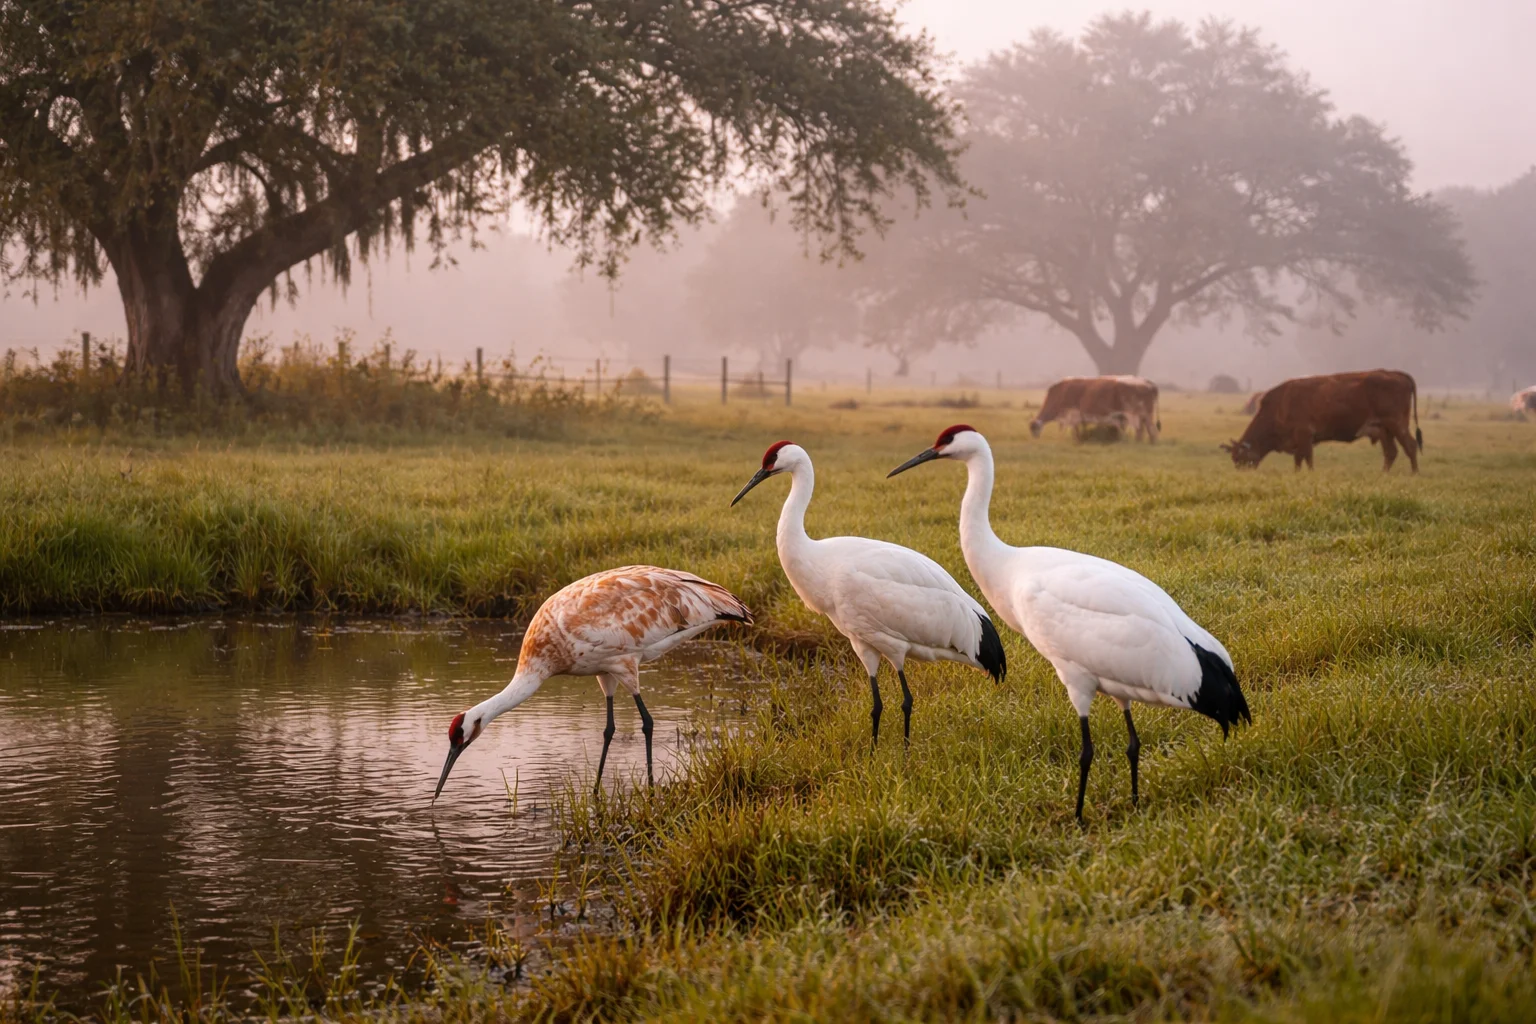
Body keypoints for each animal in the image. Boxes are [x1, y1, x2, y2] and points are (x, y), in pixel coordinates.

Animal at [1030, 376, 1161, 443]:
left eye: (1033, 430)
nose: (1035, 439)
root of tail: (1147, 382)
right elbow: (1081, 428)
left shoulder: (1073, 415)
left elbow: (1075, 430)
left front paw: (1077, 440)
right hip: (1144, 415)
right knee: (1147, 429)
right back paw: (1148, 443)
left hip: (1136, 414)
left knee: (1144, 428)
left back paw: (1142, 442)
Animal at [1222, 370, 1422, 472]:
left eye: (1239, 458)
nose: (1242, 474)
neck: (1279, 405)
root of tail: (1396, 374)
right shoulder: (1300, 440)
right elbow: (1299, 459)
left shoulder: (1304, 435)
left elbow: (1306, 458)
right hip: (1383, 430)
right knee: (1391, 452)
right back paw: (1383, 474)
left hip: (1397, 425)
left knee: (1410, 446)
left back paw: (1414, 473)